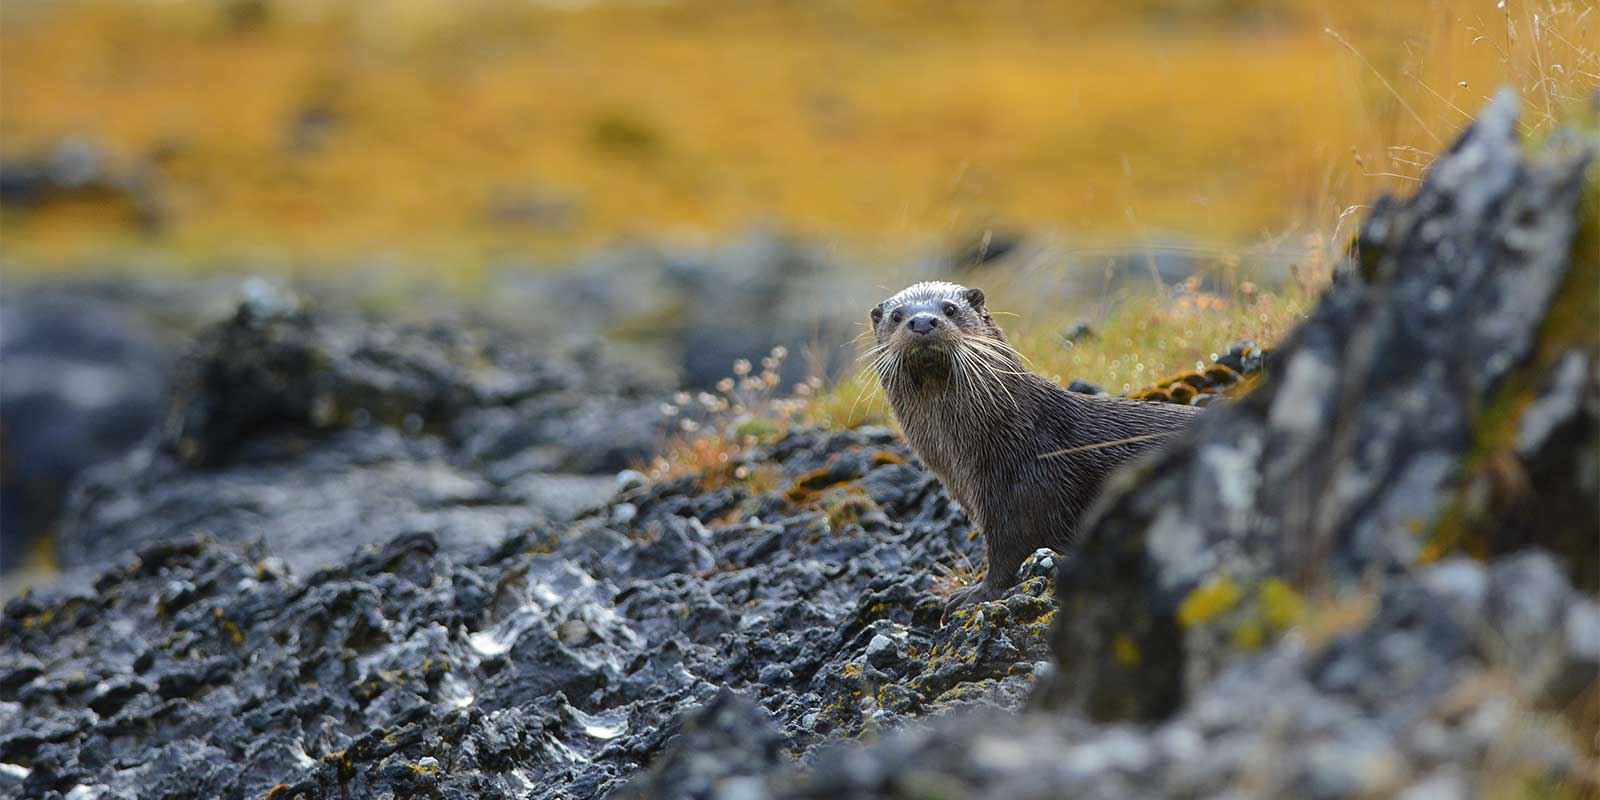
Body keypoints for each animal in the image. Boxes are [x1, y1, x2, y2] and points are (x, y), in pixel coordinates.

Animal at [866, 281, 1200, 620]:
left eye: (950, 309)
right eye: (896, 316)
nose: (922, 322)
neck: (1010, 435)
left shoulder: (1025, 495)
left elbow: (1010, 552)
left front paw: (976, 594)